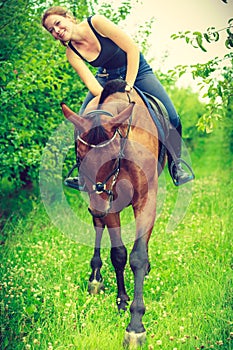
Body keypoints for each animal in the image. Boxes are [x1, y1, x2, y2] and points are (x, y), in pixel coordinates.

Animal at [61, 78, 165, 348]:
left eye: (112, 157)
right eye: (79, 154)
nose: (97, 205)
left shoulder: (145, 200)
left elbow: (138, 257)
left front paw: (136, 325)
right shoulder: (109, 203)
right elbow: (118, 254)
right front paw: (122, 301)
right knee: (99, 228)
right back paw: (95, 278)